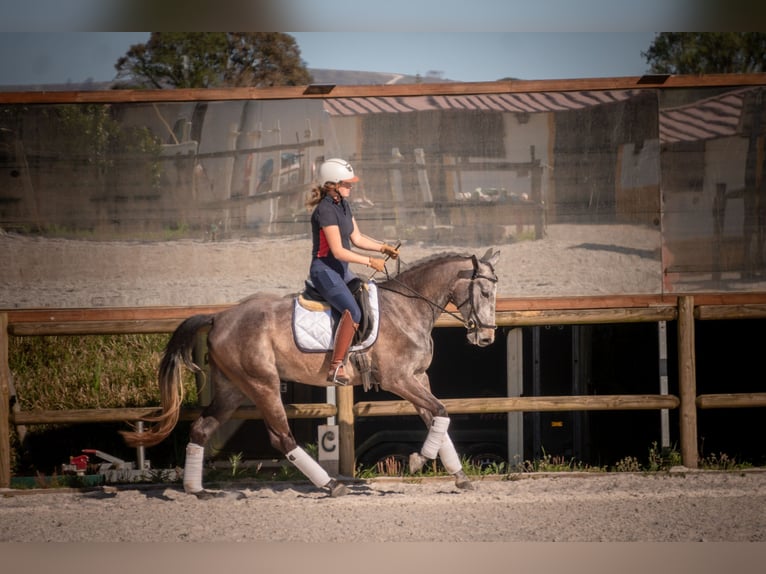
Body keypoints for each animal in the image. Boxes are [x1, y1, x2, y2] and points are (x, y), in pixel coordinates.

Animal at [121, 249, 500, 497]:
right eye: (484, 291)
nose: (486, 337)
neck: (407, 308)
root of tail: (219, 317)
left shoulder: (419, 378)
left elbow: (436, 417)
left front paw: (459, 476)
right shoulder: (399, 380)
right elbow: (440, 411)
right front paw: (419, 460)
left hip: (233, 388)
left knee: (202, 428)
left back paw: (195, 489)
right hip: (263, 384)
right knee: (281, 437)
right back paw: (330, 484)